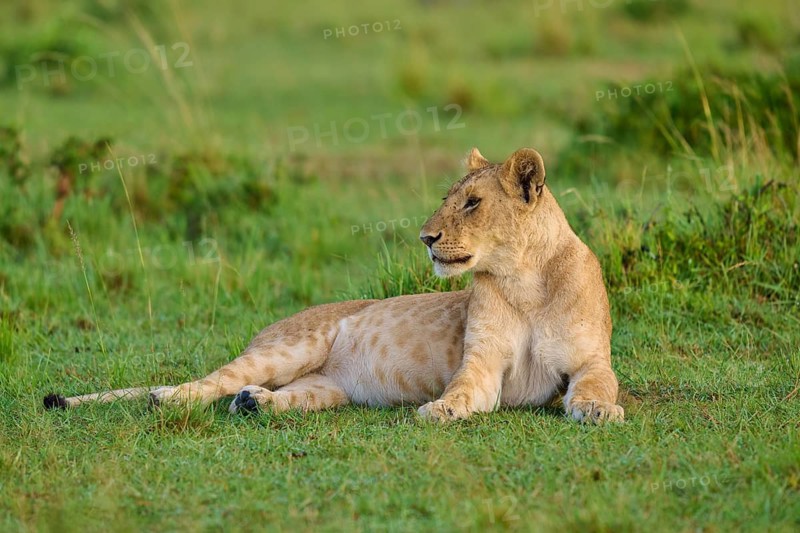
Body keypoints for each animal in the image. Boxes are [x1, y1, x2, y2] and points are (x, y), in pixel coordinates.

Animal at [44, 147, 624, 424]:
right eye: (450, 198)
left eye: (473, 203)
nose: (425, 237)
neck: (524, 279)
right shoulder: (480, 363)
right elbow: (463, 389)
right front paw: (442, 410)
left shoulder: (591, 359)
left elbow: (598, 384)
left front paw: (597, 411)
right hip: (290, 347)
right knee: (209, 382)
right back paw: (168, 396)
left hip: (326, 388)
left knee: (273, 395)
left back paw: (254, 404)